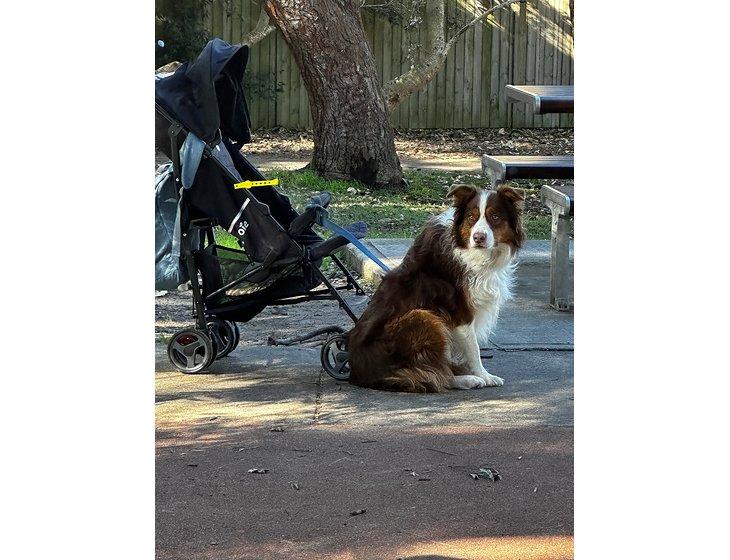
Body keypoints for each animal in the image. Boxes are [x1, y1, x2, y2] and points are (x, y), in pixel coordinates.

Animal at [346, 184, 524, 394]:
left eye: (494, 216)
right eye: (471, 217)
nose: (478, 237)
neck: (470, 252)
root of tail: (358, 376)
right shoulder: (460, 311)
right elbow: (473, 349)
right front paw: (484, 375)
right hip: (422, 316)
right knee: (434, 375)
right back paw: (468, 379)